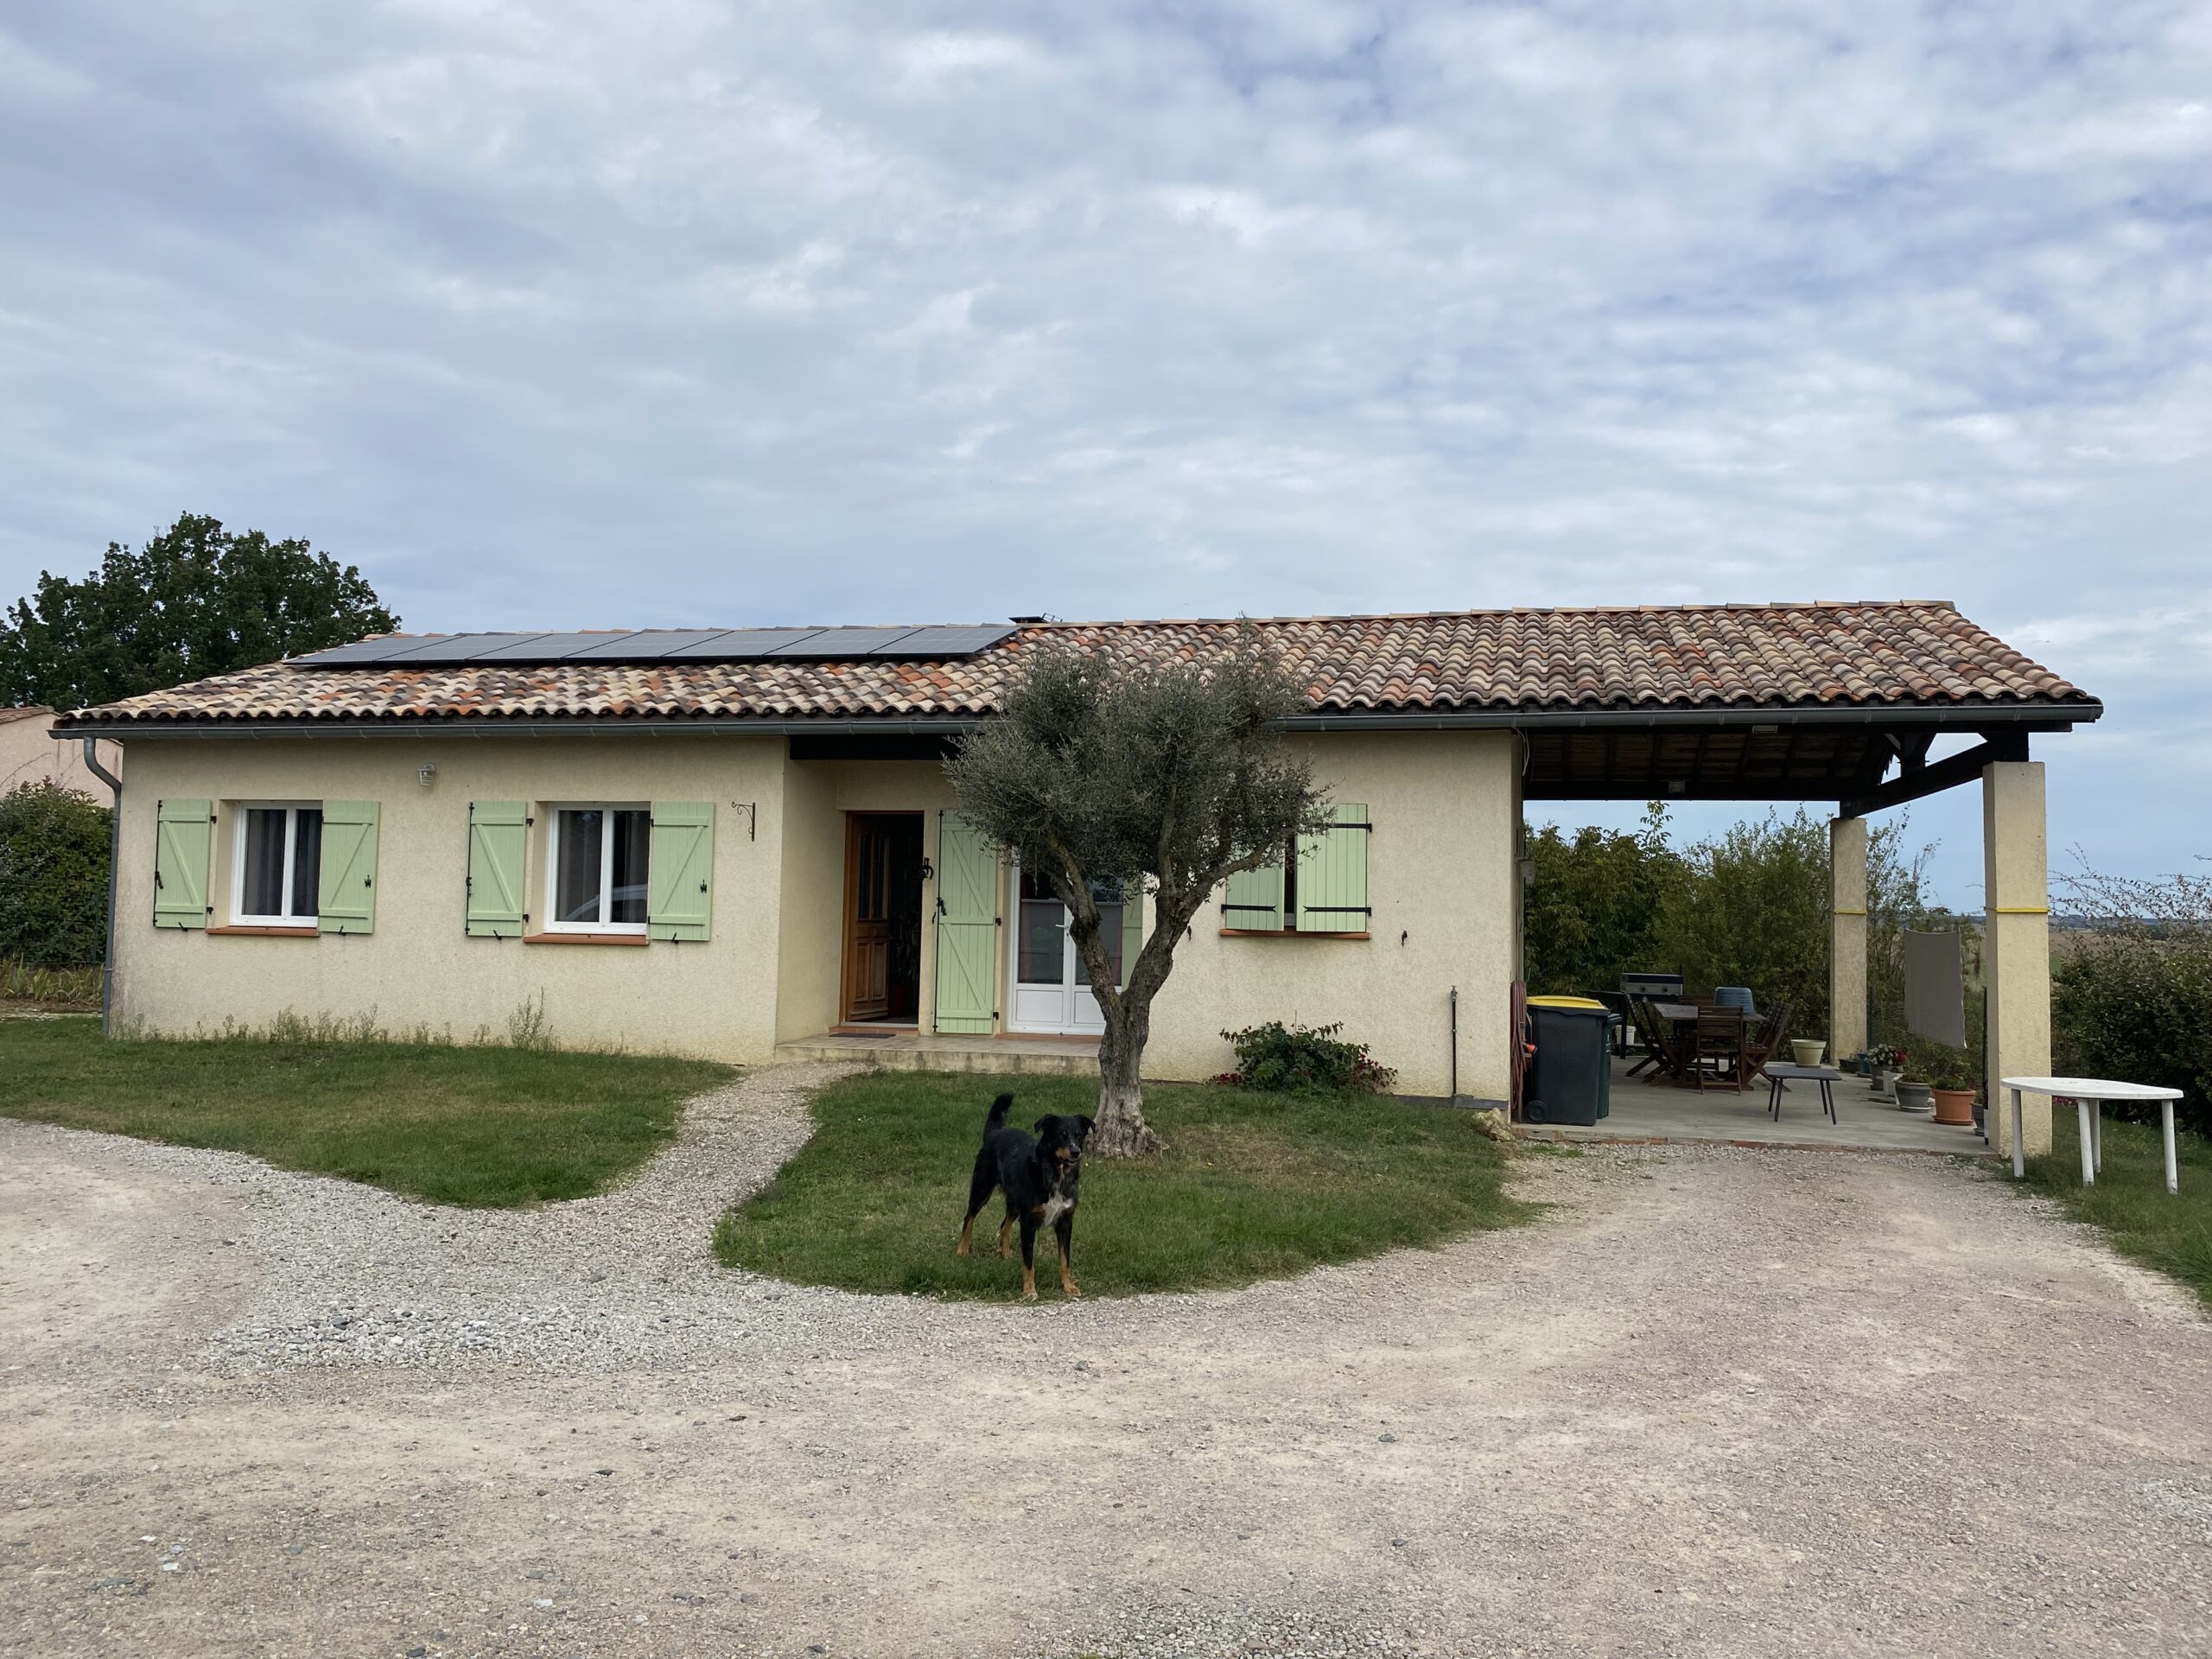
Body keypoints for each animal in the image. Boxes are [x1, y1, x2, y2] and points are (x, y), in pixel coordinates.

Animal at [955, 1096, 1092, 1309]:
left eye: (1079, 1135)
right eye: (1061, 1135)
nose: (1075, 1152)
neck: (1055, 1175)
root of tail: (994, 1133)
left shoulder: (1065, 1222)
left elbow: (1065, 1260)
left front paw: (1068, 1286)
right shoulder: (1028, 1223)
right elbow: (1029, 1263)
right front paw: (1029, 1291)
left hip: (1014, 1203)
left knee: (1004, 1225)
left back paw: (1006, 1253)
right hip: (982, 1189)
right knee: (969, 1217)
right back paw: (962, 1249)